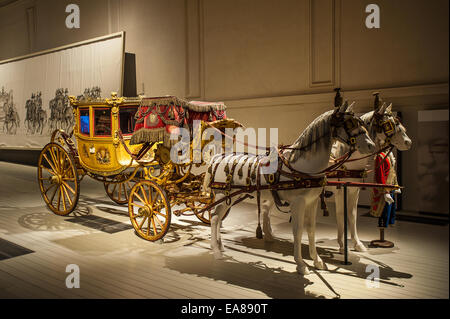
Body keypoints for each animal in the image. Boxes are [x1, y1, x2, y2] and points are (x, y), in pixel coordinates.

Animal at [205, 100, 376, 276]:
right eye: (349, 123)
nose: (371, 146)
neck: (302, 166)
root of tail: (217, 157)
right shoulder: (298, 202)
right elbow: (298, 231)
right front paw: (300, 264)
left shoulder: (313, 201)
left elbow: (311, 230)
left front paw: (317, 261)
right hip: (221, 196)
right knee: (215, 218)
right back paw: (216, 251)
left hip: (231, 197)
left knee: (218, 218)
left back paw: (220, 246)